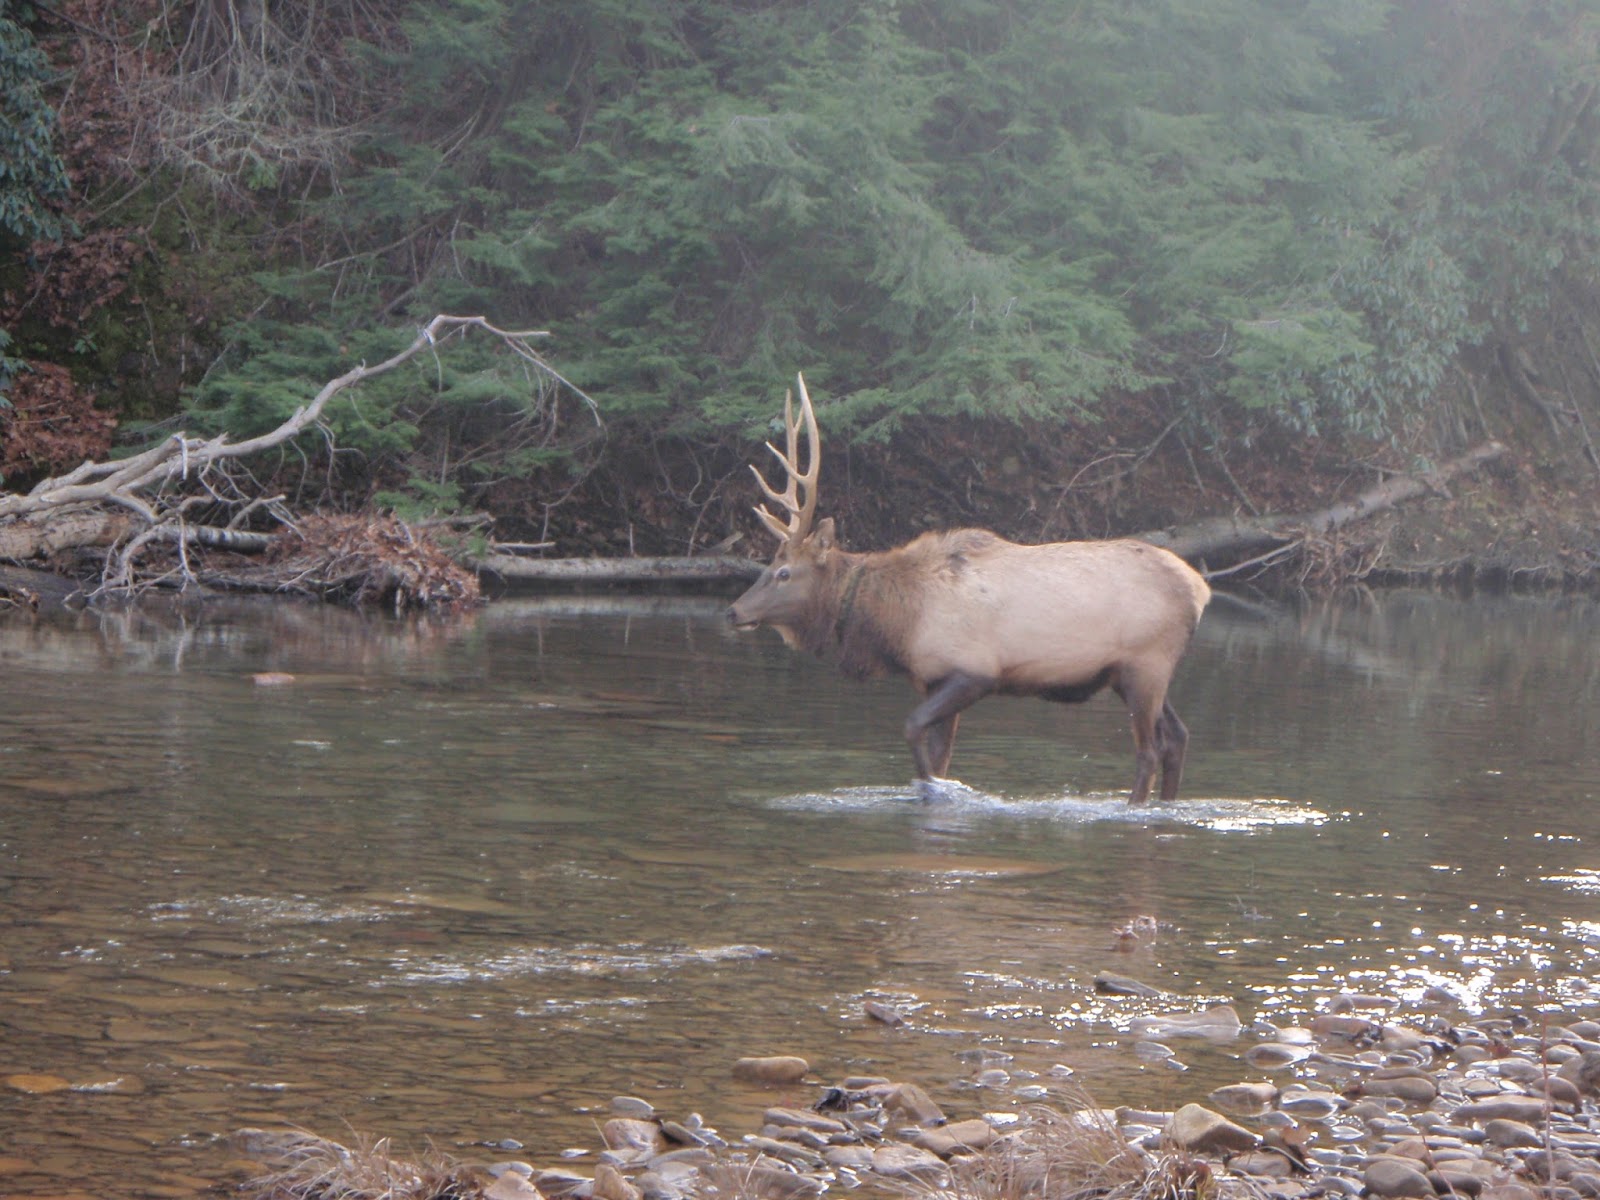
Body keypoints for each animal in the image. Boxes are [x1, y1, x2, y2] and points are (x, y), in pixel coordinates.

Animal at [727, 375, 1211, 804]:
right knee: (1179, 737)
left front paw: (934, 789)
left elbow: (913, 732)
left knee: (1149, 751)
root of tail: (1200, 588)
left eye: (784, 572)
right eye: (768, 564)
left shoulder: (973, 670)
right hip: (1134, 673)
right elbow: (940, 755)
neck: (897, 623)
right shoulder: (934, 678)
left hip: (1146, 664)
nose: (734, 611)